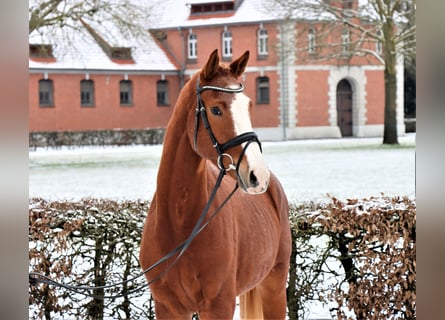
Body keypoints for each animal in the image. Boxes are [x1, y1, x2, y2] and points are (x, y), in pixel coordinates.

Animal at [140, 48, 292, 318]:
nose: (257, 175)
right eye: (216, 110)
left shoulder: (219, 305)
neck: (179, 223)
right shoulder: (168, 307)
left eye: (248, 105)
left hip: (273, 288)